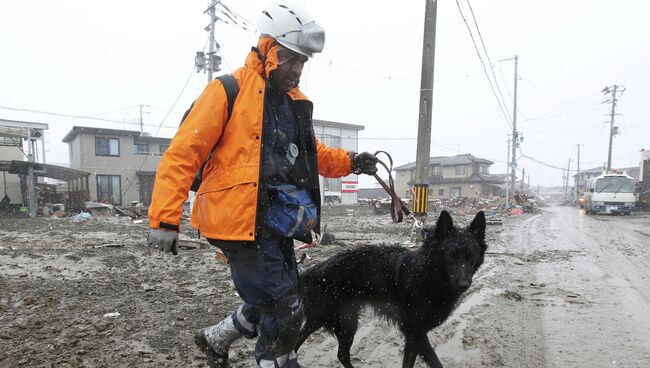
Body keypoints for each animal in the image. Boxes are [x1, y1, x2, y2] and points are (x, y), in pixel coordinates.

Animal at [296, 210, 484, 368]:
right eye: (452, 256)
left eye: (471, 257)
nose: (463, 285)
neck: (426, 274)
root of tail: (313, 270)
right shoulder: (415, 331)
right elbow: (430, 361)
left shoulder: (415, 335)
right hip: (330, 319)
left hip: (344, 321)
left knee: (340, 354)